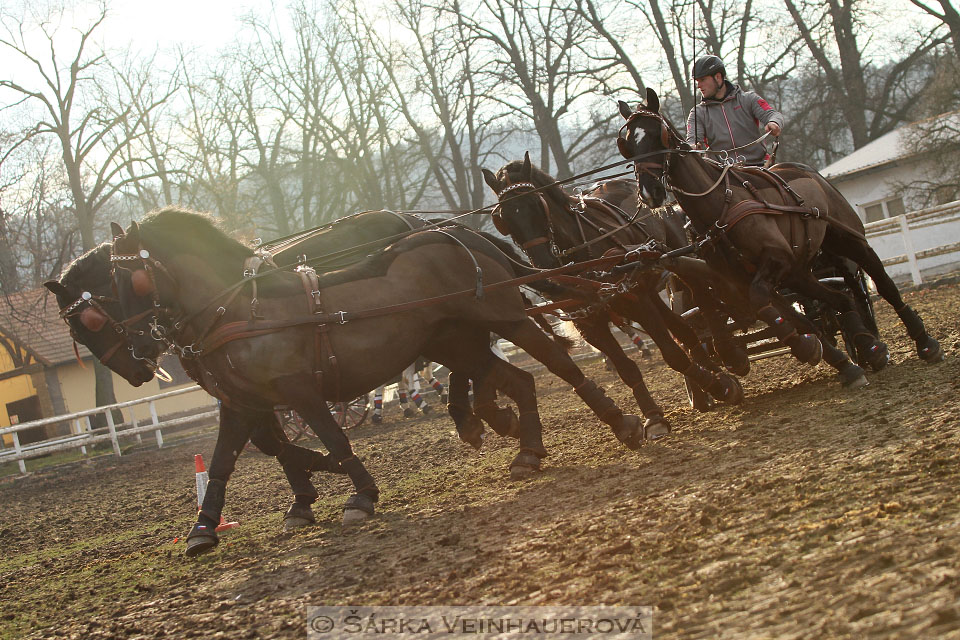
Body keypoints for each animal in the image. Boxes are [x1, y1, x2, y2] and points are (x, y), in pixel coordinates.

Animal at [484, 155, 748, 436]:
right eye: (503, 217)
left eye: (536, 203)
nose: (544, 264)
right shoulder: (590, 322)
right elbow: (626, 369)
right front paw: (653, 416)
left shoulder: (637, 302)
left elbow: (671, 354)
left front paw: (721, 386)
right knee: (684, 330)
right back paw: (711, 376)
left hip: (675, 262)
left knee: (703, 304)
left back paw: (728, 359)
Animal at [620, 90, 940, 380]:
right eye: (627, 144)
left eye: (657, 135)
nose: (648, 191)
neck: (721, 207)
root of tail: (809, 172)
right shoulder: (748, 278)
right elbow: (793, 319)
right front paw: (827, 356)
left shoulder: (776, 261)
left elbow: (767, 304)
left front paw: (808, 349)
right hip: (799, 271)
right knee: (839, 299)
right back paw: (867, 345)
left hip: (850, 240)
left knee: (882, 284)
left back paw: (923, 342)